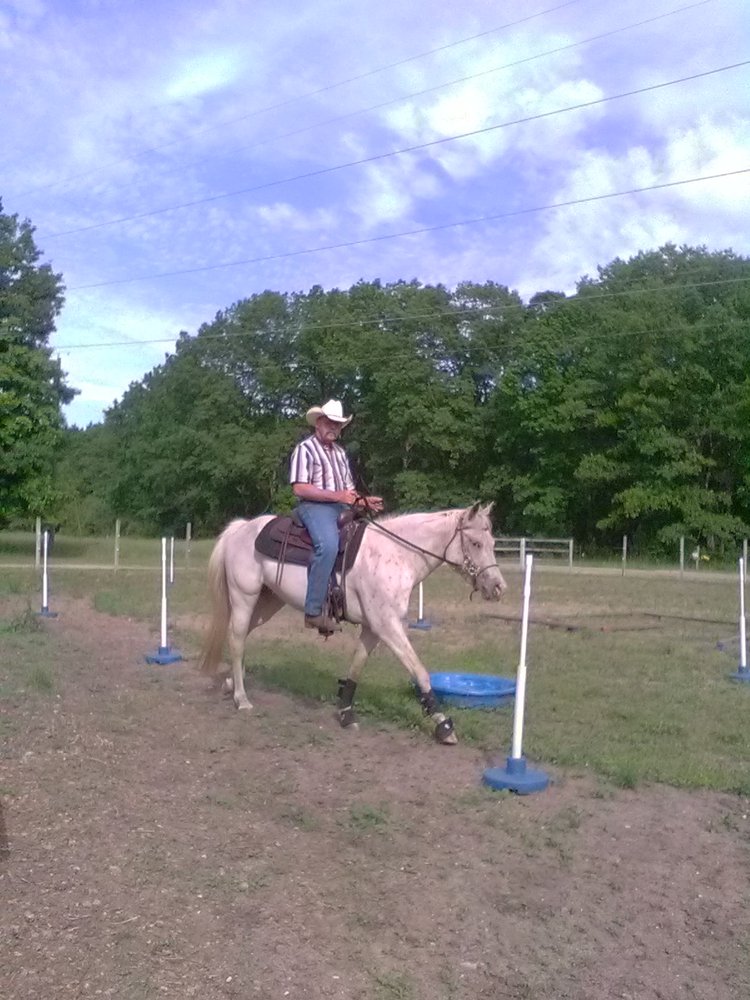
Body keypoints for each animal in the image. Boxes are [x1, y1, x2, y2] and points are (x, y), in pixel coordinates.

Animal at [199, 502, 507, 743]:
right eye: (476, 544)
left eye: (493, 544)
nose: (498, 587)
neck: (395, 554)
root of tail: (241, 528)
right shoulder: (388, 626)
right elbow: (419, 671)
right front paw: (444, 726)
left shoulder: (373, 628)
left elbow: (356, 667)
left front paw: (346, 713)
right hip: (244, 598)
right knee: (237, 639)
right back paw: (242, 698)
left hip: (267, 603)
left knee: (239, 637)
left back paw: (231, 682)